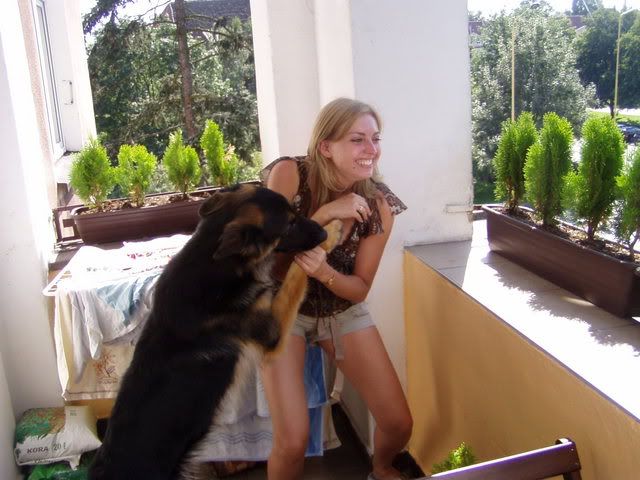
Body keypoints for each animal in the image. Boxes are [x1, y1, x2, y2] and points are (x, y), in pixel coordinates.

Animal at [89, 183, 342, 480]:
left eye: (296, 210)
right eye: (289, 224)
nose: (322, 232)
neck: (213, 262)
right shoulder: (273, 332)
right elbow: (295, 272)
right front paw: (333, 232)